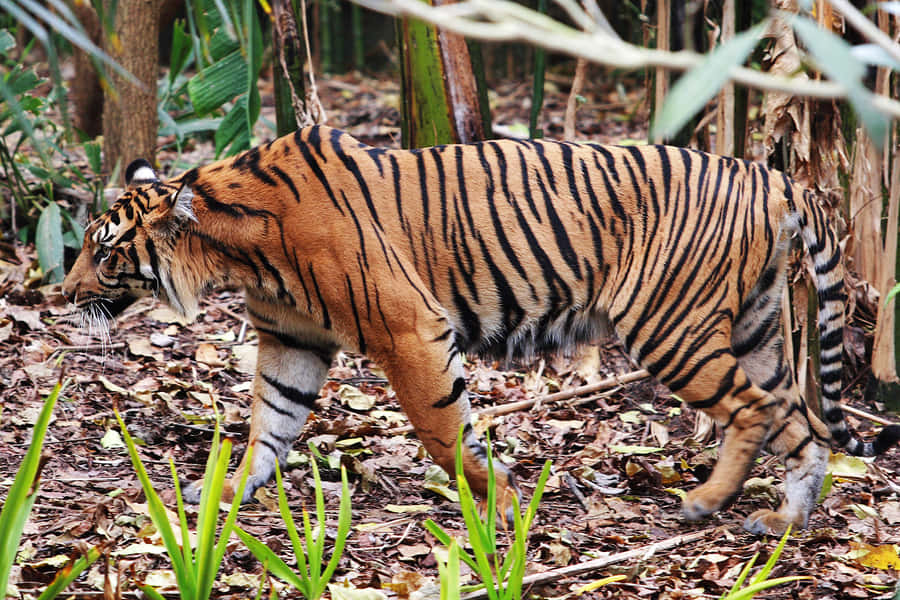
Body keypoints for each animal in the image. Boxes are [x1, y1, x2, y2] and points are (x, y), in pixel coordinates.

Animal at [61, 125, 900, 535]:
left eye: (102, 252)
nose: (62, 293)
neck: (236, 252)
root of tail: (774, 173)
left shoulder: (409, 330)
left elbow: (441, 432)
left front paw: (495, 501)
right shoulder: (292, 341)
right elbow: (268, 424)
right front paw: (223, 496)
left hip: (672, 326)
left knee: (758, 411)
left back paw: (705, 504)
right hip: (757, 329)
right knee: (799, 421)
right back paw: (783, 519)